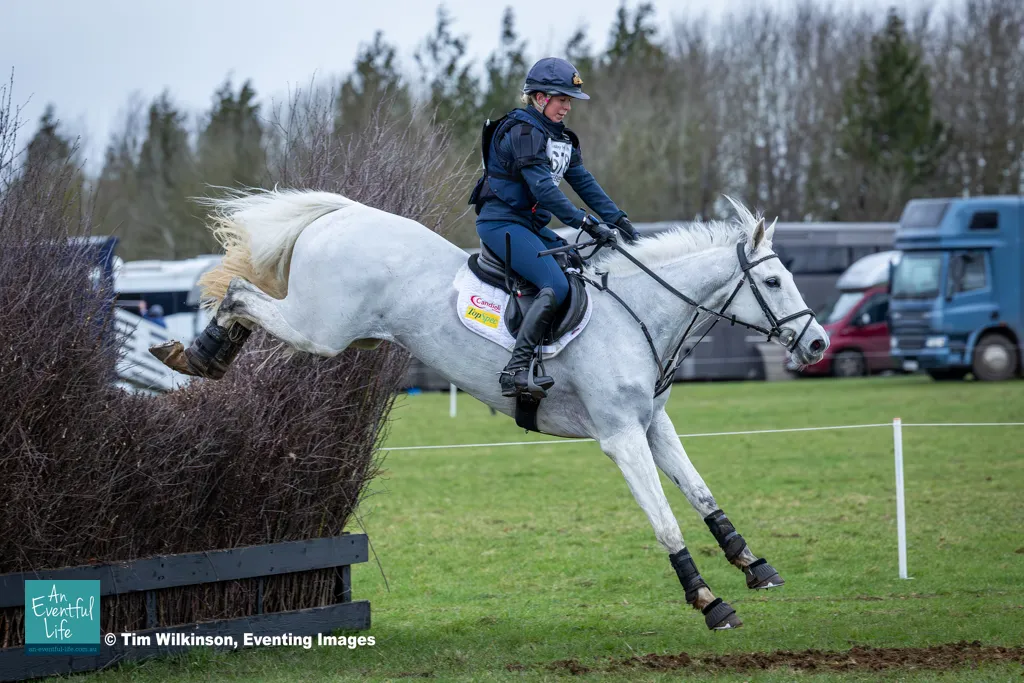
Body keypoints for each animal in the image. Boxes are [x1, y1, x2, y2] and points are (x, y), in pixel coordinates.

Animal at [151, 189, 828, 630]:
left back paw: (200, 353)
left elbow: (701, 492)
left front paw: (752, 563)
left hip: (332, 329)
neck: (640, 312)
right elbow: (664, 519)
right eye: (773, 283)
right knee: (240, 293)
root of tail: (346, 215)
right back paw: (201, 353)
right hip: (321, 328)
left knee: (246, 296)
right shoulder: (620, 437)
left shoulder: (652, 425)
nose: (818, 344)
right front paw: (709, 600)